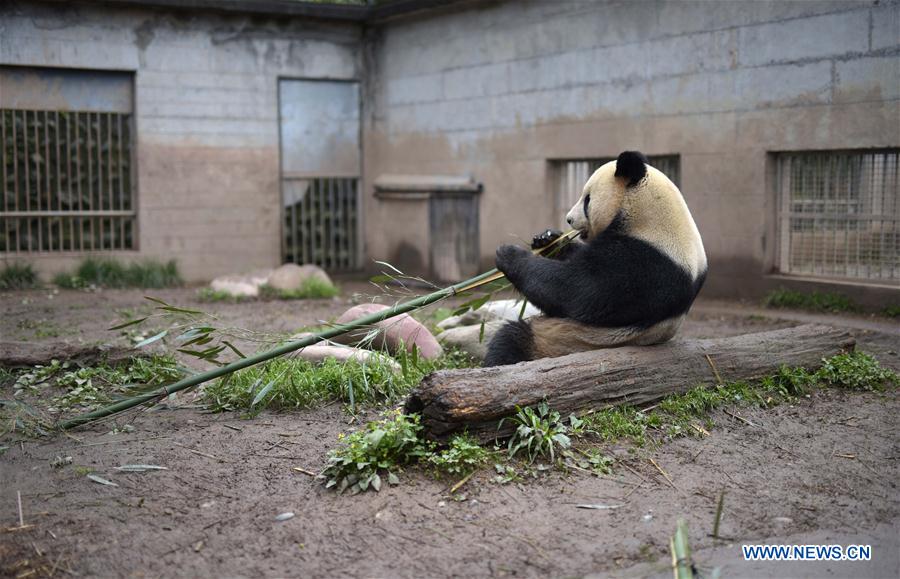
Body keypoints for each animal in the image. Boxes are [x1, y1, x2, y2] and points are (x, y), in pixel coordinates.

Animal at [482, 151, 708, 368]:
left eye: (587, 199)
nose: (569, 219)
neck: (652, 219)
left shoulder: (648, 265)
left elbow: (578, 290)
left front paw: (509, 254)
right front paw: (548, 239)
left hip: (563, 341)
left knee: (511, 340)